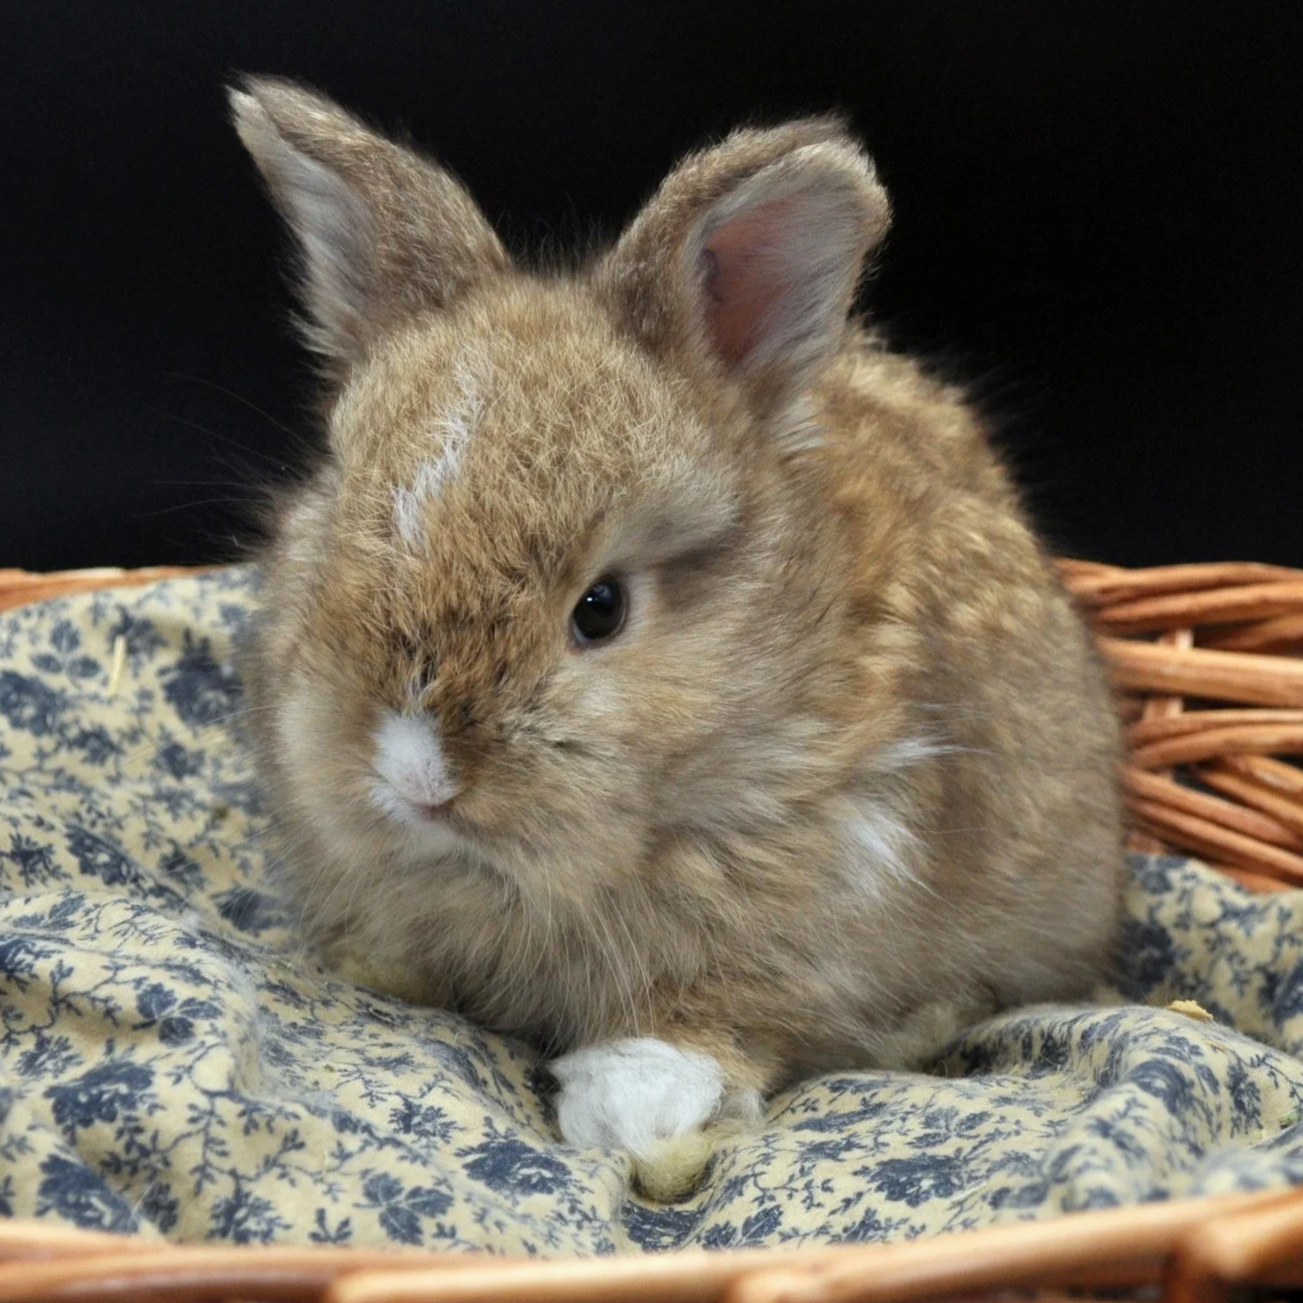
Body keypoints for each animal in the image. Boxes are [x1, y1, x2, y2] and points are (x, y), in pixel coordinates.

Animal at [230, 77, 1125, 1198]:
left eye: (600, 608)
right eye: (340, 522)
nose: (416, 775)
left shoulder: (807, 910)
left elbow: (699, 1029)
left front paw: (639, 1124)